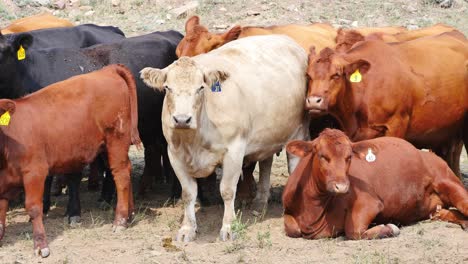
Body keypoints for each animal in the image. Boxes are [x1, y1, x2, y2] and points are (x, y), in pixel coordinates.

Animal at [0, 64, 140, 258]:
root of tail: (108, 70)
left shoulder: (35, 172)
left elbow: (34, 208)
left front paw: (41, 245)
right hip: (106, 146)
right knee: (127, 170)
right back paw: (130, 214)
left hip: (116, 139)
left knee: (121, 175)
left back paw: (120, 221)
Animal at [141, 35, 312, 241]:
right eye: (167, 88)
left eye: (201, 88)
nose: (182, 119)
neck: (194, 141)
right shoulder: (174, 154)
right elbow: (188, 193)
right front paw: (187, 229)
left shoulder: (234, 151)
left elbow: (228, 191)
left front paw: (229, 227)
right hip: (268, 136)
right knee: (266, 163)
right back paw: (260, 200)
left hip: (299, 130)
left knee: (293, 164)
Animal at [282, 129, 468, 240]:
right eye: (322, 156)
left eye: (349, 157)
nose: (342, 187)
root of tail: (428, 153)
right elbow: (293, 229)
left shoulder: (370, 202)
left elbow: (354, 231)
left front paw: (389, 228)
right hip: (435, 209)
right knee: (448, 213)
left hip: (451, 184)